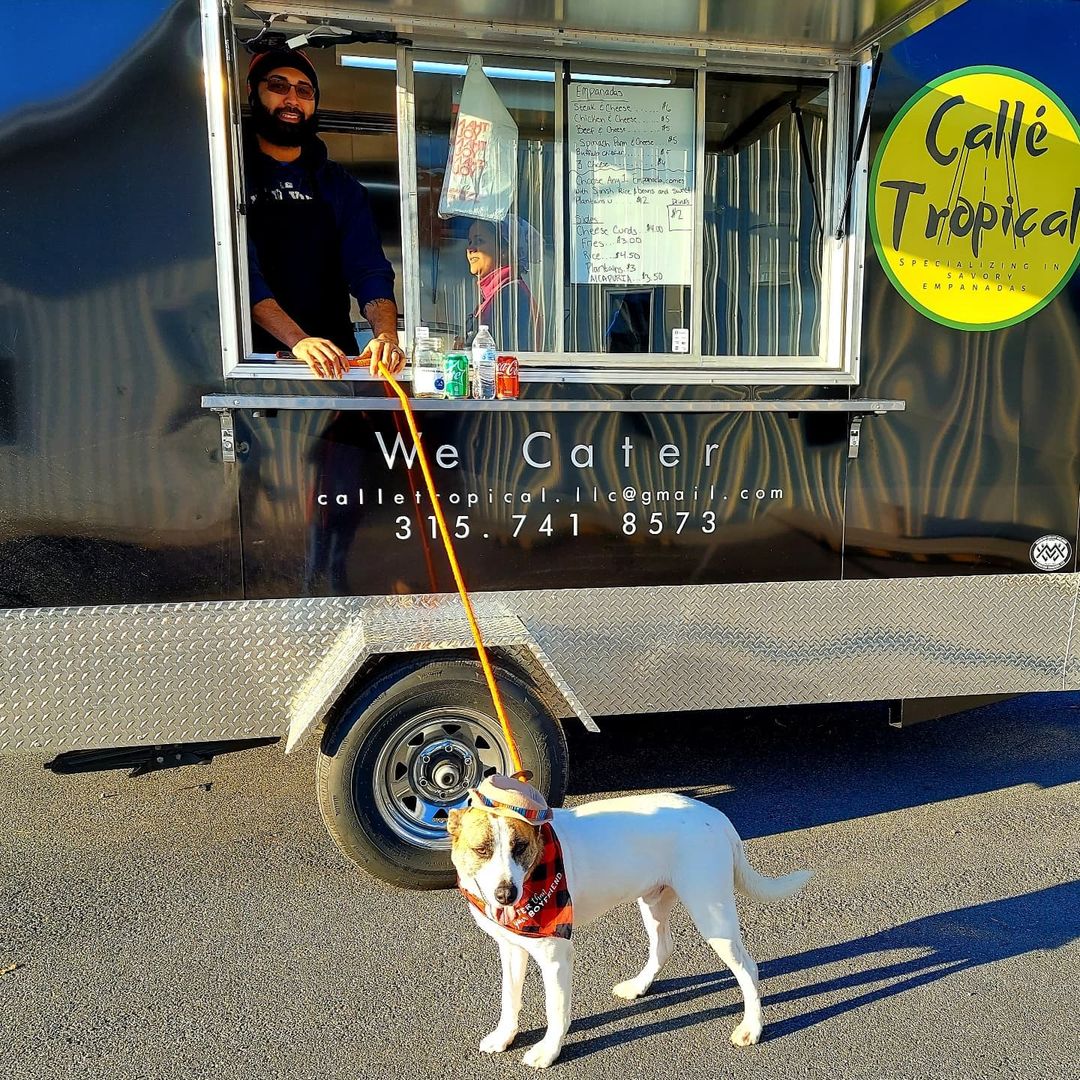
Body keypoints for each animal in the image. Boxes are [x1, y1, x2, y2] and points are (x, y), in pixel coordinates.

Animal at [447, 773, 812, 1067]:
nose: (506, 894)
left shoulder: (556, 956)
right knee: (664, 946)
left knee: (748, 969)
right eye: (481, 850)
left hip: (713, 914)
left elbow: (556, 1009)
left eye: (520, 847)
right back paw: (639, 986)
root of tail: (716, 816)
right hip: (653, 900)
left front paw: (549, 1051)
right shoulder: (511, 947)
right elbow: (510, 998)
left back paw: (752, 1027)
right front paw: (504, 1035)